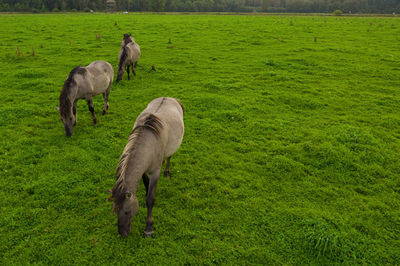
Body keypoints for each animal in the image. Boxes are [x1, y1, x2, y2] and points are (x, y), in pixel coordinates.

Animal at [108, 97, 185, 237]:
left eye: (127, 212)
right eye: (115, 210)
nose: (122, 233)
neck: (149, 143)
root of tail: (171, 98)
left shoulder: (155, 172)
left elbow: (150, 199)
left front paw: (148, 228)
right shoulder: (143, 170)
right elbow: (145, 183)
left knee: (169, 157)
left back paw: (167, 172)